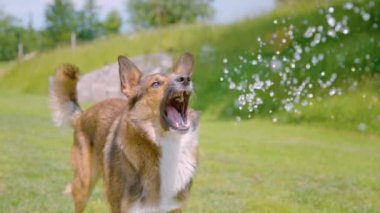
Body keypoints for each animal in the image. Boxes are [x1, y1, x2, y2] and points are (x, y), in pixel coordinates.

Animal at [49, 52, 202, 212]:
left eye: (181, 76)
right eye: (156, 84)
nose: (185, 79)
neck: (168, 147)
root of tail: (82, 115)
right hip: (83, 186)